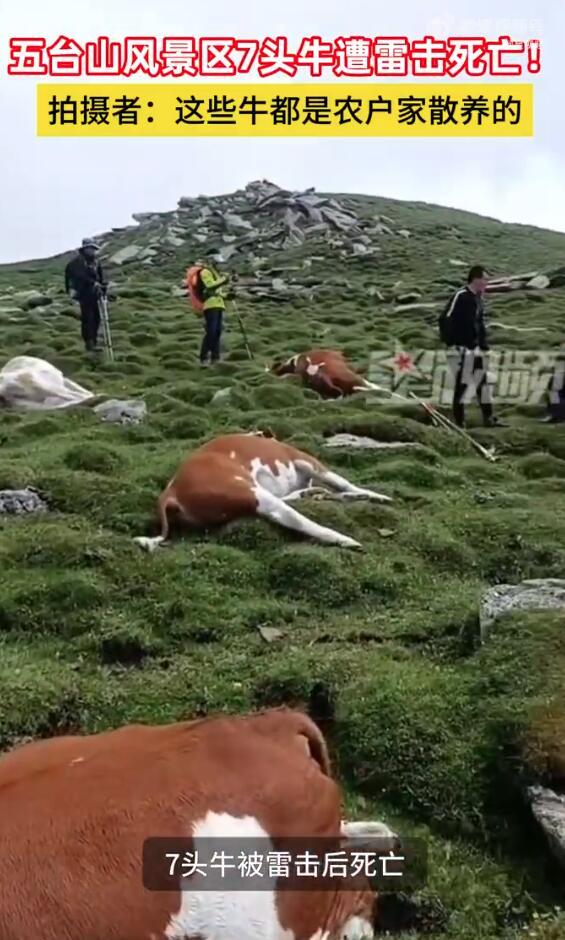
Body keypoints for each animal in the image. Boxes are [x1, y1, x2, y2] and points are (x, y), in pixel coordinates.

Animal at [135, 432, 392, 556]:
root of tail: (171, 490)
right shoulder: (308, 461)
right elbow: (343, 482)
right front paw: (374, 495)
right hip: (255, 494)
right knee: (300, 520)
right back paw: (346, 539)